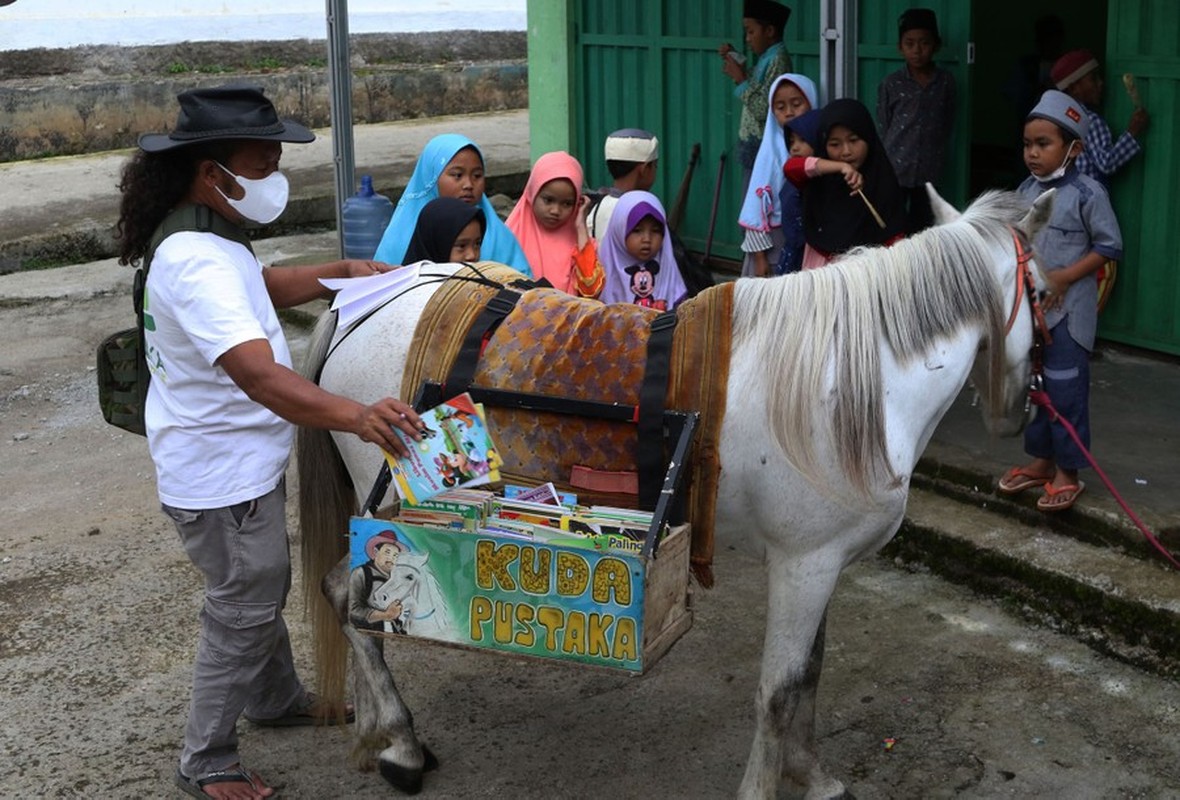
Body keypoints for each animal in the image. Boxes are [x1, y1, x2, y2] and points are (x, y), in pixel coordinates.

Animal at [295, 187, 1052, 797]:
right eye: (1044, 290)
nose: (1018, 415)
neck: (852, 384)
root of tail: (365, 302)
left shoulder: (822, 564)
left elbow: (809, 674)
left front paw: (812, 776)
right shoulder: (804, 565)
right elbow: (780, 692)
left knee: (345, 596)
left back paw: (383, 735)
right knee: (351, 599)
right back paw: (398, 743)